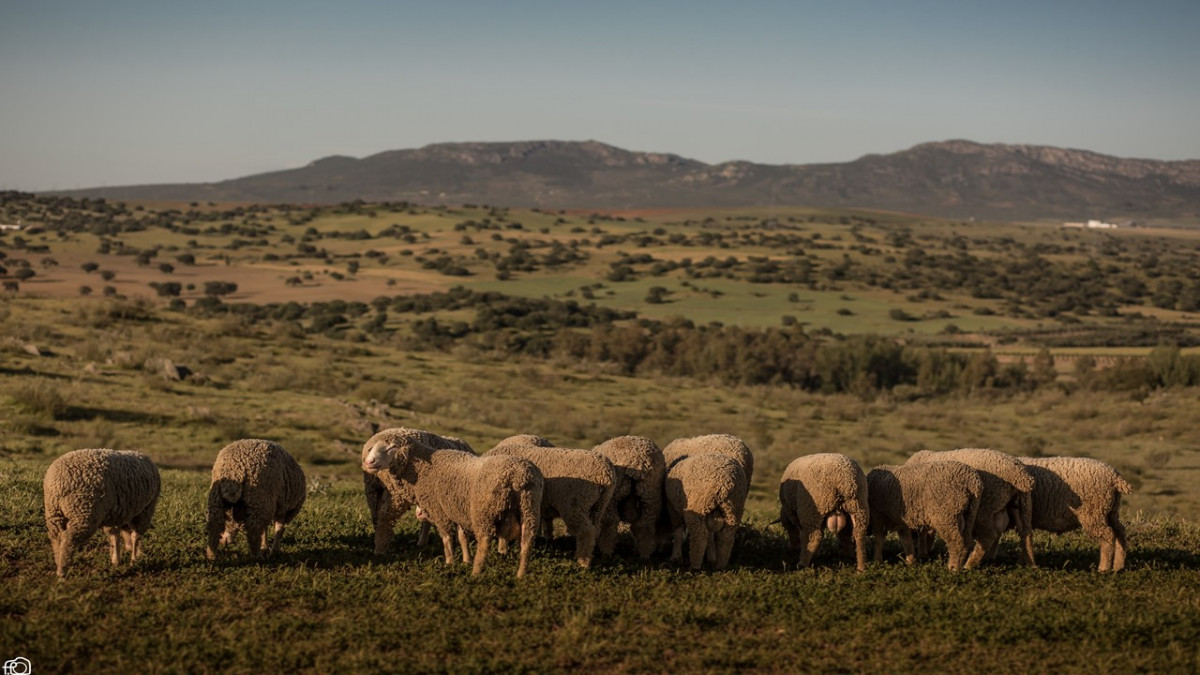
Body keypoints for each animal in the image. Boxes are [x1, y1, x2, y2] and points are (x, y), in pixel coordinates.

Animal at [42, 446, 162, 578]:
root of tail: (58, 483)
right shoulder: (143, 511)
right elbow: (135, 535)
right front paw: (134, 560)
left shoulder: (116, 513)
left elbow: (115, 534)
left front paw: (117, 559)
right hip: (84, 513)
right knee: (69, 538)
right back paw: (62, 570)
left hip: (54, 514)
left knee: (56, 537)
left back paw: (58, 560)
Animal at [357, 432, 542, 576]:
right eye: (371, 448)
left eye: (391, 447)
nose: (369, 462)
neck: (424, 468)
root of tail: (517, 475)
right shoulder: (455, 507)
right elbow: (461, 536)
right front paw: (465, 559)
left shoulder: (438, 509)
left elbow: (446, 537)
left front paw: (450, 562)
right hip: (529, 507)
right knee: (527, 541)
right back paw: (521, 574)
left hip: (483, 511)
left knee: (484, 541)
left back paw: (476, 572)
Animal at [487, 437, 619, 566]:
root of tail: (606, 473)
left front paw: (503, 550)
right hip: (599, 506)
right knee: (599, 529)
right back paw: (601, 554)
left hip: (574, 505)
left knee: (586, 532)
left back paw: (583, 563)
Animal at [902, 446, 1036, 566]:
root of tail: (1022, 477)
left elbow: (923, 531)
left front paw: (923, 553)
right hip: (1020, 505)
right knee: (1026, 533)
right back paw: (1030, 564)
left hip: (986, 507)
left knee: (988, 536)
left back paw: (969, 564)